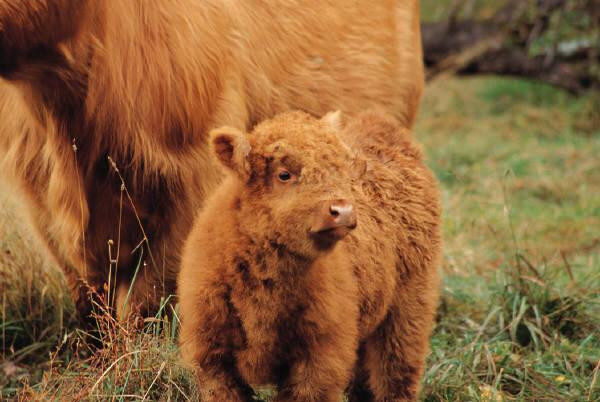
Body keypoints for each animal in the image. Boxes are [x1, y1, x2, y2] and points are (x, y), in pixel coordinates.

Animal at [178, 110, 440, 402]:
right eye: (284, 174)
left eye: (340, 171)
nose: (343, 210)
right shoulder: (212, 358)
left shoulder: (320, 359)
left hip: (409, 306)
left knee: (395, 372)